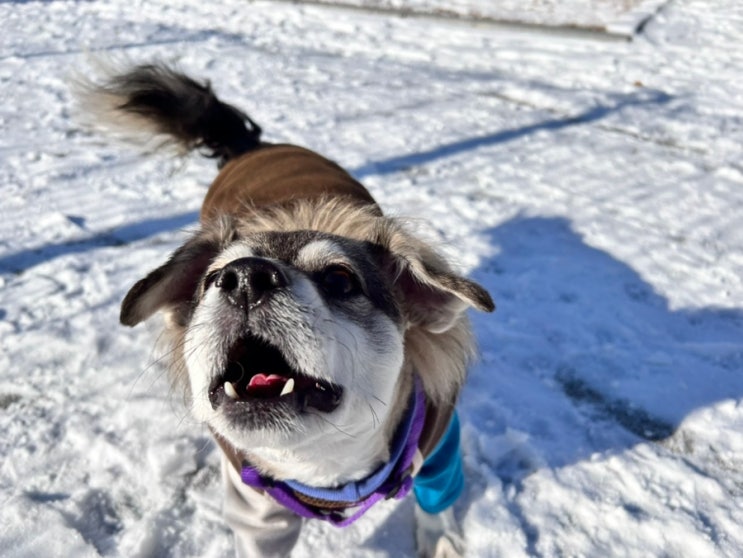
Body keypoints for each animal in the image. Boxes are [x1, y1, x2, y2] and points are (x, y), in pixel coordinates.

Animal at [80, 63, 494, 556]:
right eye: (211, 279)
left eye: (340, 279)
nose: (244, 278)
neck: (327, 468)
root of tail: (253, 146)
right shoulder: (254, 509)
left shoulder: (439, 438)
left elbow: (436, 500)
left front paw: (441, 541)